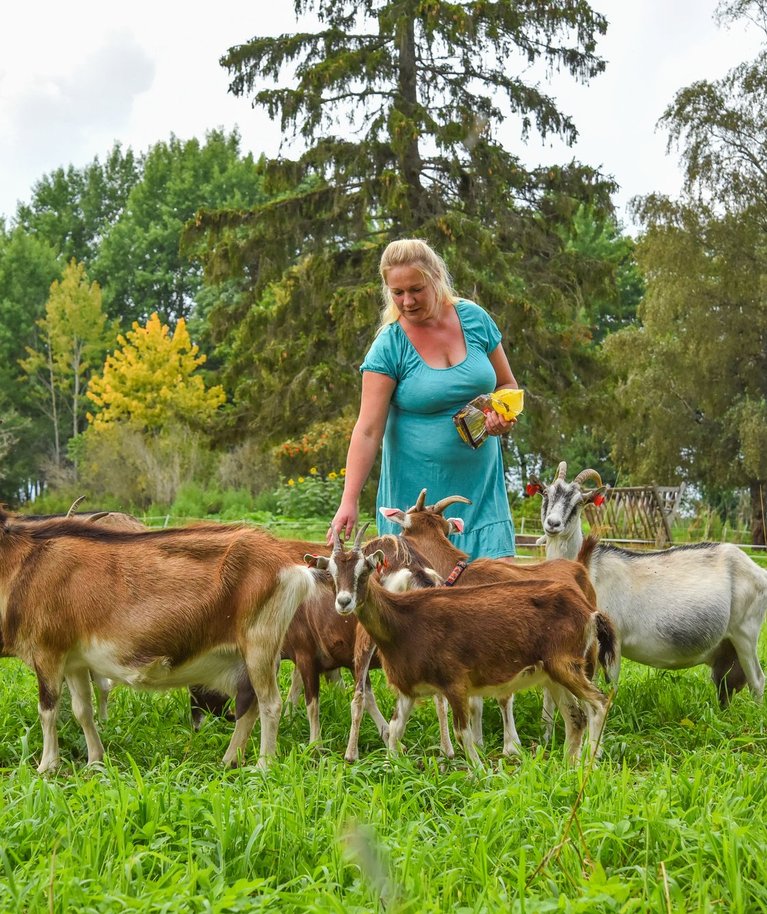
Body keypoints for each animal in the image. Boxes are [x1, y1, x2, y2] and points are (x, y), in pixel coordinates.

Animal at [0, 510, 318, 764]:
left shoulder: (46, 651)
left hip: (260, 644)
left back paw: (263, 765)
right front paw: (94, 761)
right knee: (248, 705)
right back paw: (229, 761)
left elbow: (48, 710)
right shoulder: (74, 661)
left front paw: (46, 766)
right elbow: (82, 711)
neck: (23, 564)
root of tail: (289, 565)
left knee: (269, 704)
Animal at [306, 532, 612, 764]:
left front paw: (479, 771)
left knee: (598, 704)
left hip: (565, 665)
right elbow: (394, 730)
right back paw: (568, 765)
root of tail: (589, 611)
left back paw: (589, 762)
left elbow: (463, 732)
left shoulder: (455, 683)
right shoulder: (408, 689)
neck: (405, 620)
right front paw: (395, 766)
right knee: (576, 717)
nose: (344, 602)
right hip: (553, 673)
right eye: (331, 572)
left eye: (365, 570)